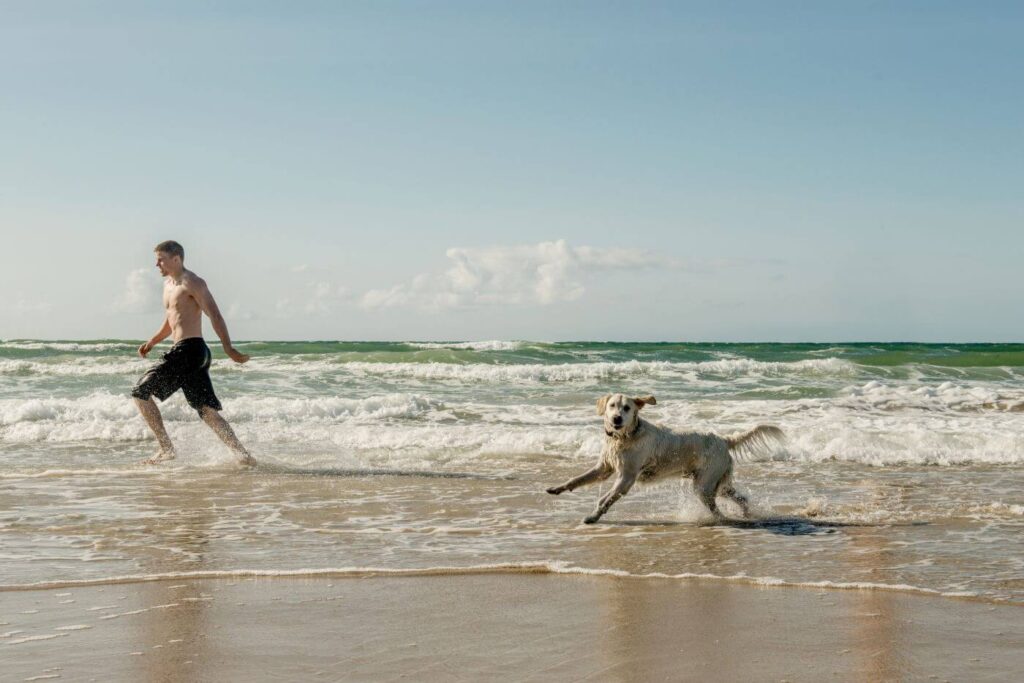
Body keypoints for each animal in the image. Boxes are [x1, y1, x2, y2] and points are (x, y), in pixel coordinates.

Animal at [548, 395, 778, 524]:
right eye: (612, 405)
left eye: (627, 408)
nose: (616, 419)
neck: (626, 437)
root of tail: (724, 439)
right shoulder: (604, 468)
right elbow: (577, 479)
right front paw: (557, 488)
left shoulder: (626, 478)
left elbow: (605, 499)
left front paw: (592, 517)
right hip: (717, 483)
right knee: (740, 497)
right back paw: (746, 514)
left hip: (704, 485)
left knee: (717, 508)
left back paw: (722, 520)